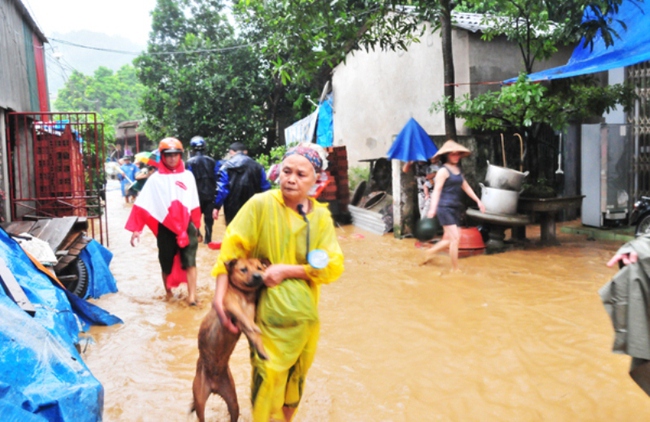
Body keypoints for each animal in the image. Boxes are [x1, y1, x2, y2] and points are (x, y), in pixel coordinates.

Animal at [190, 258, 268, 422]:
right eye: (243, 269)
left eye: (259, 268)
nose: (258, 276)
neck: (244, 295)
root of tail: (214, 386)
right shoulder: (229, 304)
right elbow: (244, 319)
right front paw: (255, 329)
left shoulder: (247, 316)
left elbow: (253, 334)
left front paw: (261, 350)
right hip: (200, 400)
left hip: (232, 399)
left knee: (233, 412)